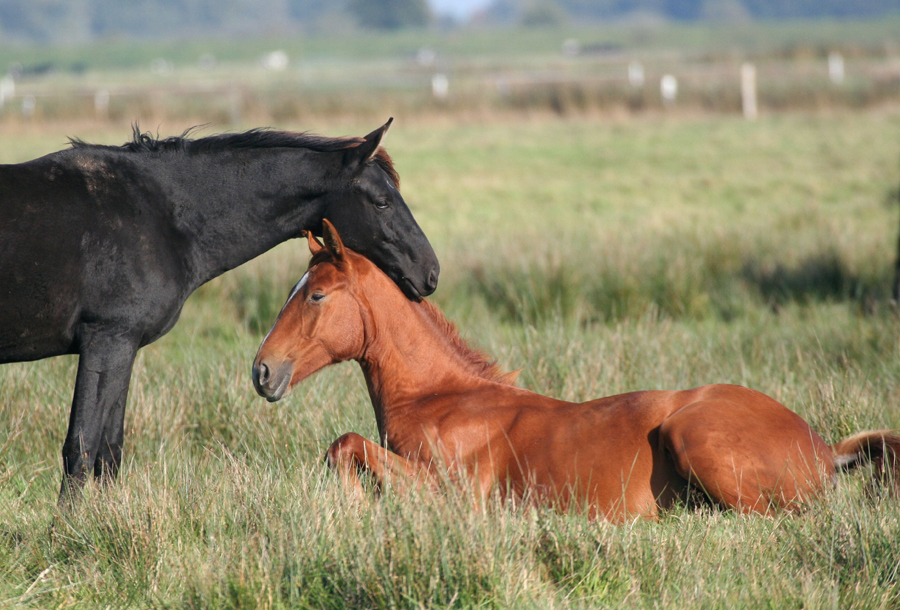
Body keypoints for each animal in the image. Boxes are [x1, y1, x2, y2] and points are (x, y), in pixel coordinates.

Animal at [0, 119, 440, 498]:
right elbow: (83, 447)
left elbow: (109, 451)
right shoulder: (108, 340)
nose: (430, 272)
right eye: (382, 202)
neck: (161, 216)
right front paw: (70, 531)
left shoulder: (121, 348)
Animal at [250, 221, 896, 520]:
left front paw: (353, 512)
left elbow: (345, 444)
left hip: (696, 436)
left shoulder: (452, 495)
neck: (443, 401)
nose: (261, 371)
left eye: (316, 296)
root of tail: (824, 448)